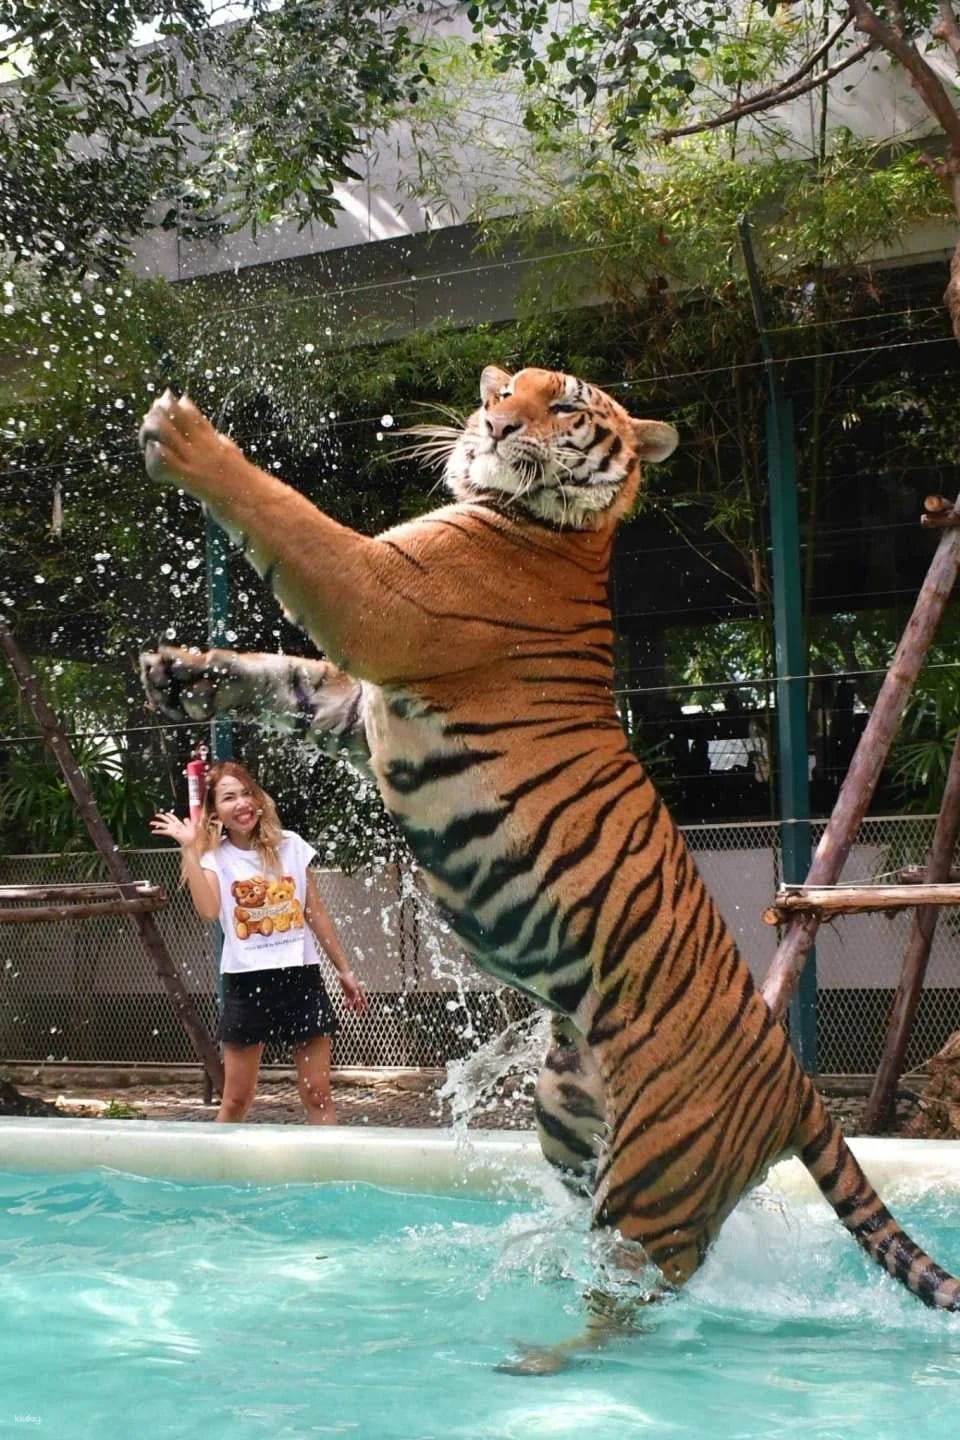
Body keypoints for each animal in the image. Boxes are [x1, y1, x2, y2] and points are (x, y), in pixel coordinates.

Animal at [138, 364, 960, 1360]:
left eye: (561, 402)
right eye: (500, 387)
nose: (494, 423)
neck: (555, 531)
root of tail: (799, 1086)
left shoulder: (378, 596)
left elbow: (285, 511)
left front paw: (184, 436)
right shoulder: (348, 699)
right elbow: (275, 674)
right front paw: (179, 670)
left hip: (654, 1185)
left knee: (643, 1290)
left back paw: (549, 1358)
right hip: (570, 1115)